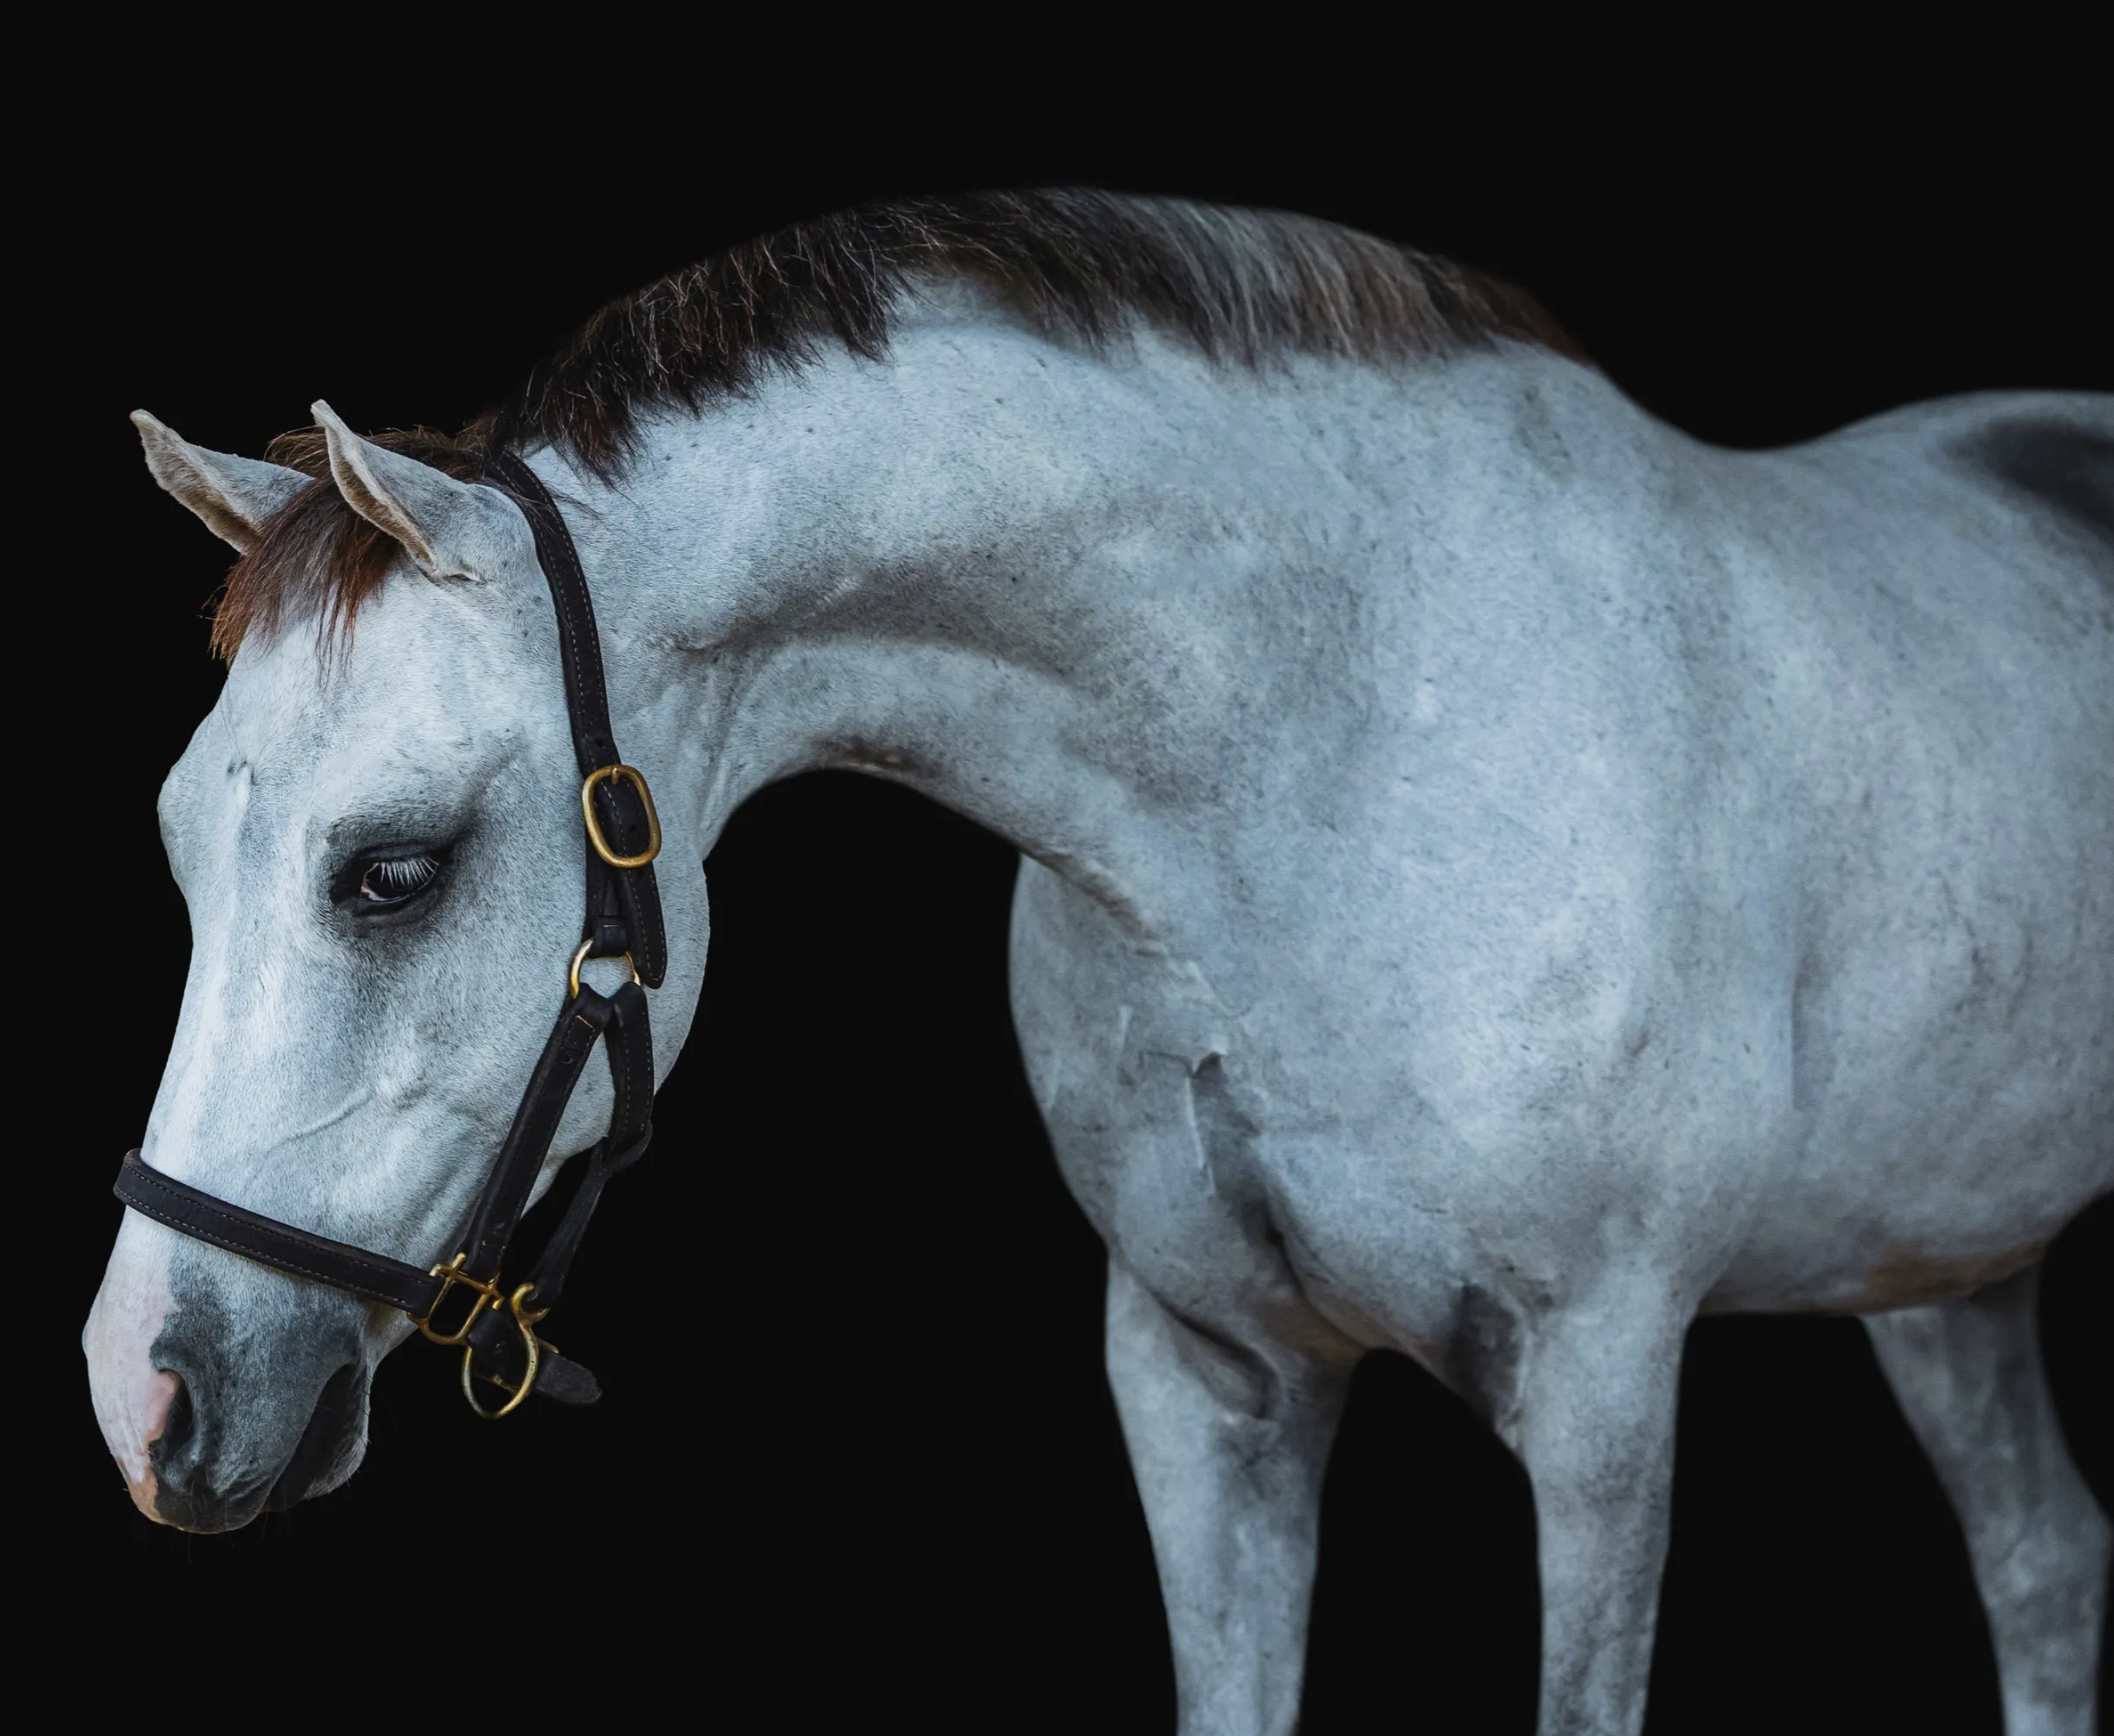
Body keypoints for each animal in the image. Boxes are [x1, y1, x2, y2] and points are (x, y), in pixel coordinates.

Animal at [84, 191, 2109, 1735]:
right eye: (179, 842)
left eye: (393, 872)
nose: (139, 1397)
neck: (1335, 740)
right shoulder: (1205, 1373)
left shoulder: (1604, 1390)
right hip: (1944, 1273)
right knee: (2043, 1564)